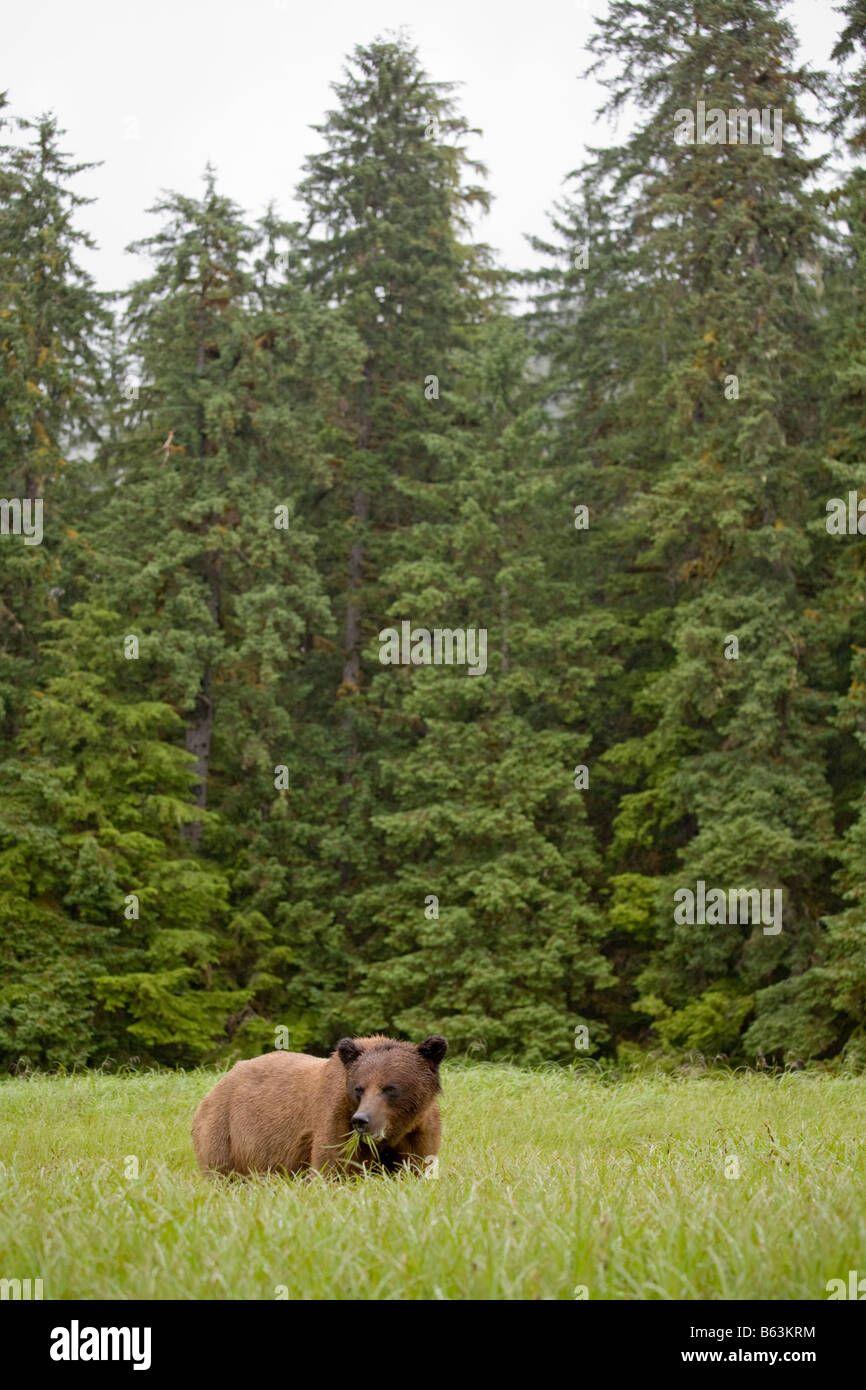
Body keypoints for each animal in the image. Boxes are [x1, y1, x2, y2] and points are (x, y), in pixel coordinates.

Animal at [189, 1028, 447, 1178]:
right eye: (359, 1089)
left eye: (390, 1088)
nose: (362, 1120)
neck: (393, 1133)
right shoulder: (336, 1117)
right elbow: (330, 1167)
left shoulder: (419, 1132)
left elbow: (416, 1166)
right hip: (223, 1131)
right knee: (219, 1169)